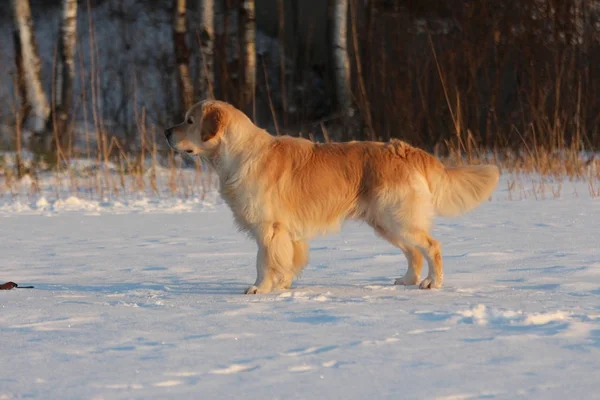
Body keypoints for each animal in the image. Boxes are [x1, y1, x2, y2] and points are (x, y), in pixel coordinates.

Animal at [166, 100, 500, 294]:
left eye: (189, 121)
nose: (167, 132)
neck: (238, 154)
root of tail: (405, 149)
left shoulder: (268, 227)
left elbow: (264, 261)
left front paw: (259, 289)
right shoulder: (287, 232)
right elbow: (286, 260)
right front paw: (282, 285)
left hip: (397, 218)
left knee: (432, 246)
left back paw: (432, 283)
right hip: (385, 222)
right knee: (413, 252)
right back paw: (407, 281)